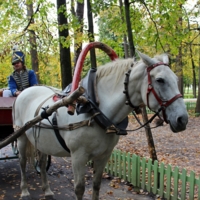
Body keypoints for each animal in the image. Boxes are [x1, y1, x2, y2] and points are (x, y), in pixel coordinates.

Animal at [13, 52, 188, 200]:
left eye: (175, 78)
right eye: (160, 80)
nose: (183, 119)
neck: (93, 109)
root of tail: (25, 91)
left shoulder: (104, 155)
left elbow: (96, 185)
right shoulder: (78, 156)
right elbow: (79, 189)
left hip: (42, 142)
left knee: (42, 163)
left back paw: (47, 191)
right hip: (21, 136)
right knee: (22, 162)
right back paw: (24, 191)